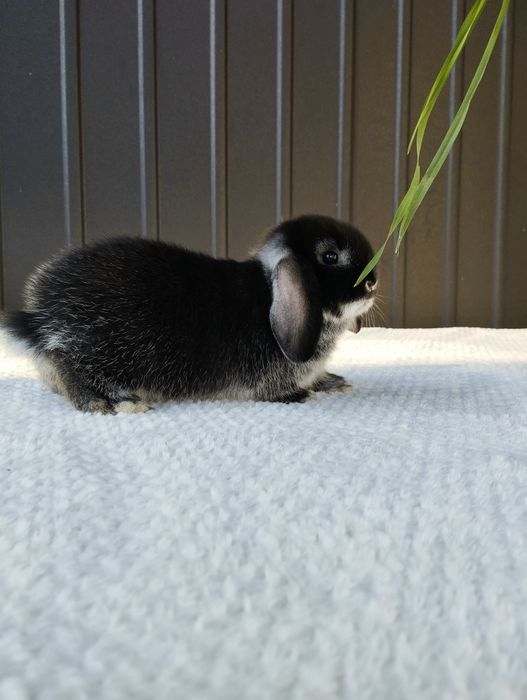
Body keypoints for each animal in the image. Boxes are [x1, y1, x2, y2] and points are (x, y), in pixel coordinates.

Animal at [1, 214, 378, 413]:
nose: (373, 282)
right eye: (330, 257)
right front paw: (303, 394)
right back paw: (109, 402)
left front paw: (333, 381)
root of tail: (40, 316)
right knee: (67, 363)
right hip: (107, 347)